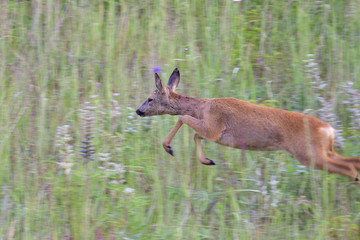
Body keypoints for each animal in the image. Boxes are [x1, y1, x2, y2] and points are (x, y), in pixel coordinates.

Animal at [136, 67, 360, 186]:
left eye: (150, 99)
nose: (138, 111)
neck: (202, 107)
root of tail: (329, 130)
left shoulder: (214, 127)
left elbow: (183, 118)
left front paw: (168, 147)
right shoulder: (212, 132)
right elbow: (195, 134)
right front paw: (207, 160)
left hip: (309, 153)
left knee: (349, 167)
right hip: (324, 151)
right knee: (352, 161)